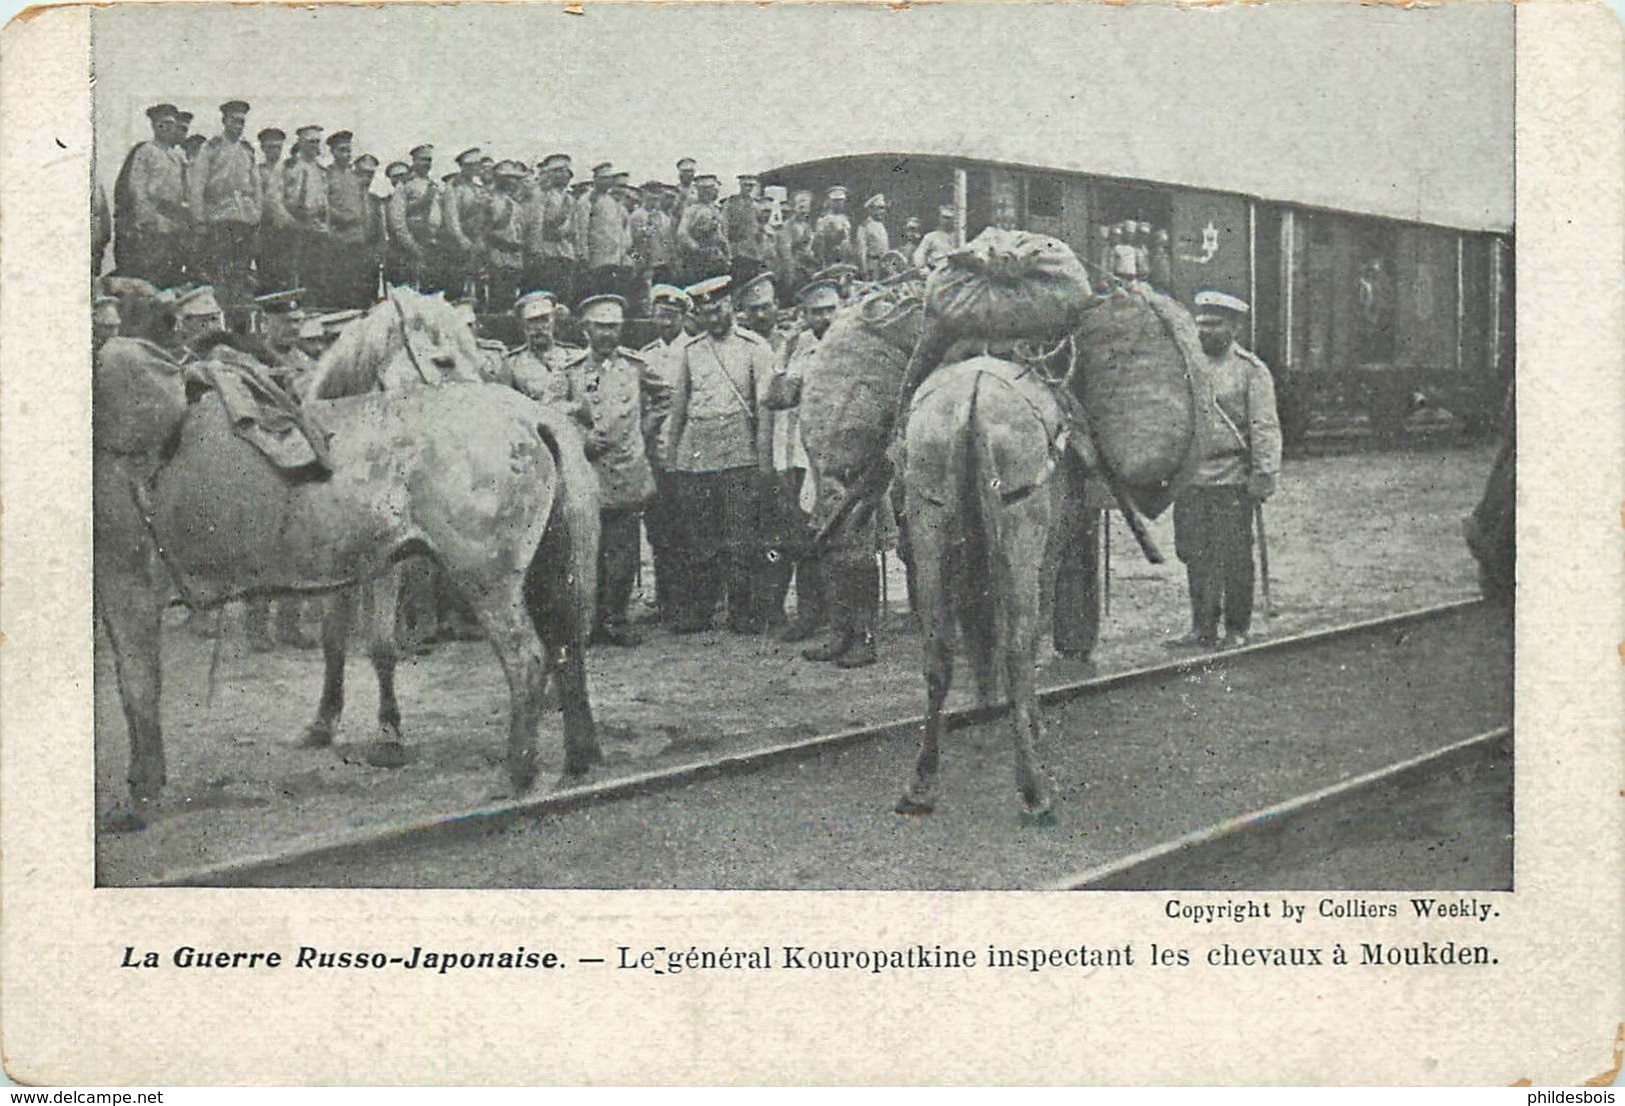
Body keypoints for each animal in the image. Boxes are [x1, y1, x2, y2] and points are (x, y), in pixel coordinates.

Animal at [88, 289, 601, 831]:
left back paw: (515, 774)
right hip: (545, 567)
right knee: (566, 644)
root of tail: (531, 416)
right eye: (442, 359)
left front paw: (141, 791)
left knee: (528, 659)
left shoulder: (126, 581)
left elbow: (138, 684)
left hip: (486, 579)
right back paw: (579, 755)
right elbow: (335, 644)